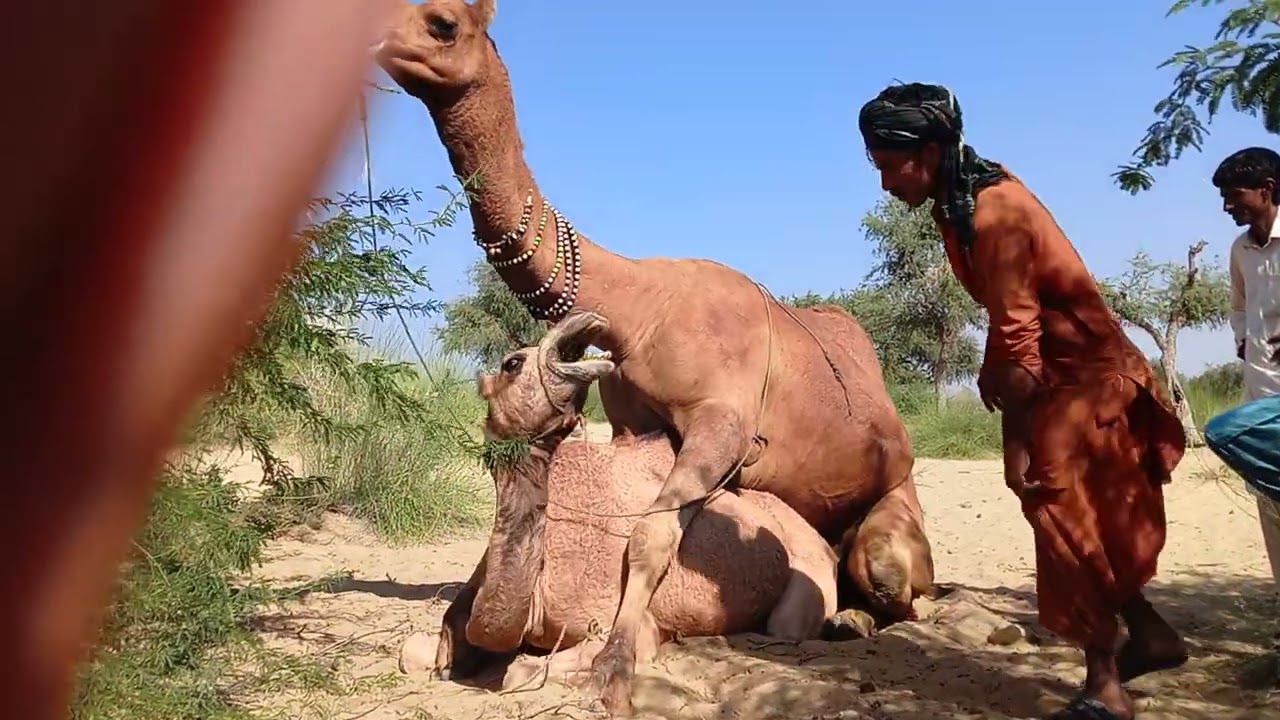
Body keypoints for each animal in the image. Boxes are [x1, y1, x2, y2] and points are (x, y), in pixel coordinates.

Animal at [422, 310, 839, 692]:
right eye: (513, 362)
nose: (584, 322)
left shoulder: (630, 625)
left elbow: (518, 672)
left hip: (809, 577)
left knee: (784, 626)